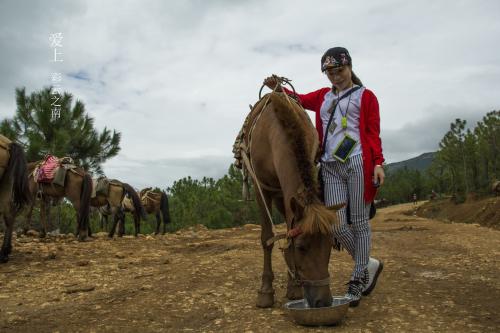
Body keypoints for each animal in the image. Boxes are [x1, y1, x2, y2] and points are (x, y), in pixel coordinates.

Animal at [240, 92, 342, 308]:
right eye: (302, 247)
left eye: (330, 244)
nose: (323, 301)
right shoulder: (262, 189)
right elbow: (267, 238)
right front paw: (265, 291)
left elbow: (288, 233)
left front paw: (294, 288)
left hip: (283, 197)